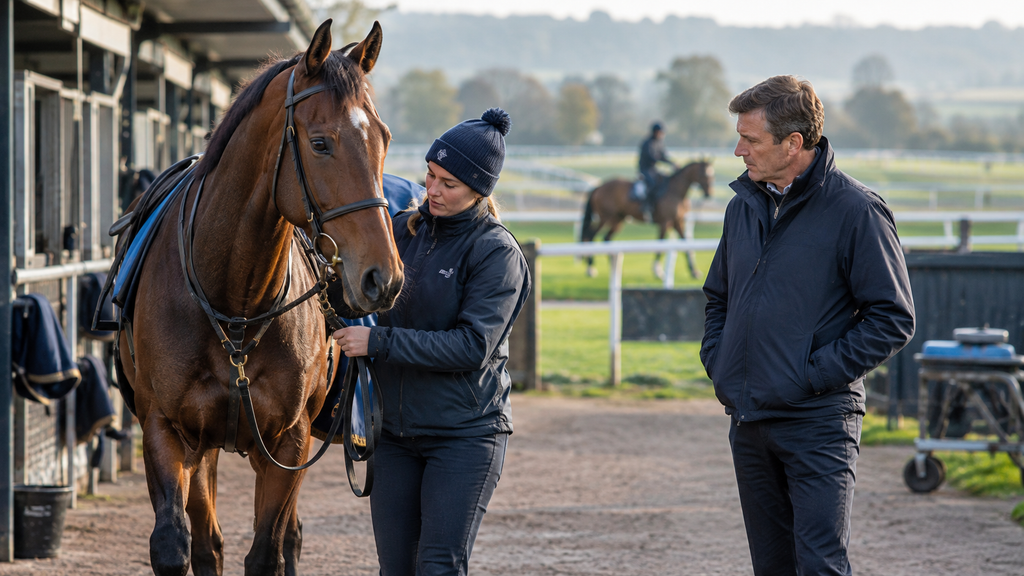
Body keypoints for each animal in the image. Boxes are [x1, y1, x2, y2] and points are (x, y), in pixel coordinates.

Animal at [116, 21, 403, 576]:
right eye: (320, 143)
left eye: (384, 137)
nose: (384, 277)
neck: (235, 307)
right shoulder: (164, 428)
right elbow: (176, 544)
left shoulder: (289, 441)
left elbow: (268, 548)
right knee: (208, 543)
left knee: (286, 537)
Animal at [579, 160, 714, 279]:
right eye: (704, 174)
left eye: (711, 174)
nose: (709, 193)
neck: (676, 191)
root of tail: (598, 187)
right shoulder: (665, 222)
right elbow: (661, 243)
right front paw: (657, 271)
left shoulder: (677, 222)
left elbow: (686, 244)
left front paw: (694, 272)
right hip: (606, 218)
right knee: (591, 235)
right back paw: (591, 268)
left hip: (617, 220)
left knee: (606, 238)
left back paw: (613, 265)